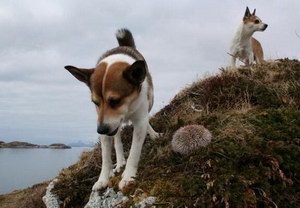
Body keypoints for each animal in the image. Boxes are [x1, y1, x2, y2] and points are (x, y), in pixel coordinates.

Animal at [64, 28, 159, 191]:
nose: (101, 129)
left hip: (149, 101)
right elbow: (106, 157)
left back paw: (152, 134)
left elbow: (134, 152)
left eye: (115, 101)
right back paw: (120, 161)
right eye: (95, 102)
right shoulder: (104, 124)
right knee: (117, 139)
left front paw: (128, 177)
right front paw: (103, 178)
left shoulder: (139, 121)